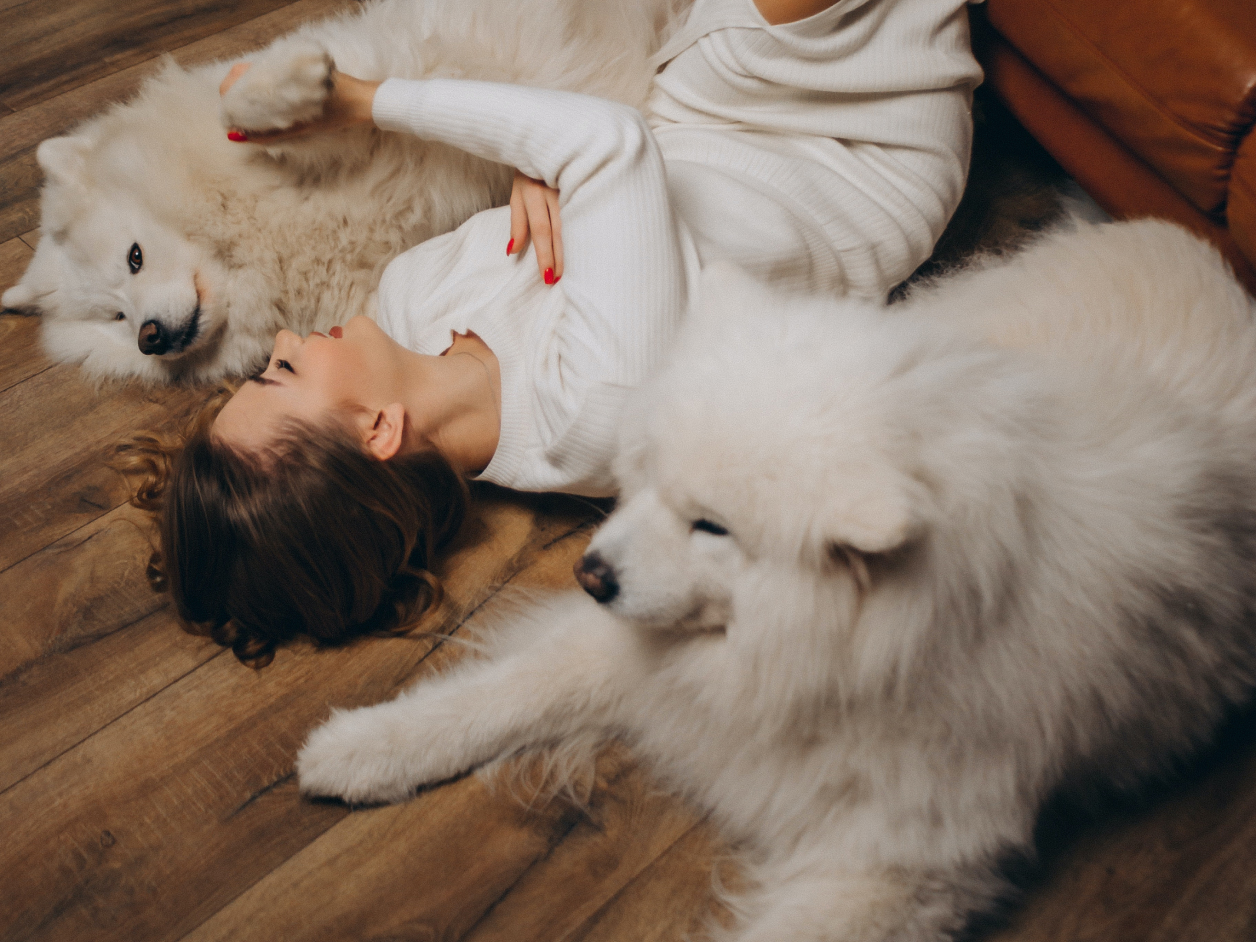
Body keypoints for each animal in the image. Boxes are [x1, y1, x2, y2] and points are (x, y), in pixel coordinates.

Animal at [293, 223, 1256, 942]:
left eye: (713, 527)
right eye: (646, 479)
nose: (589, 573)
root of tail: (1174, 237)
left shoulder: (897, 863)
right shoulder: (632, 650)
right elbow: (494, 697)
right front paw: (360, 748)